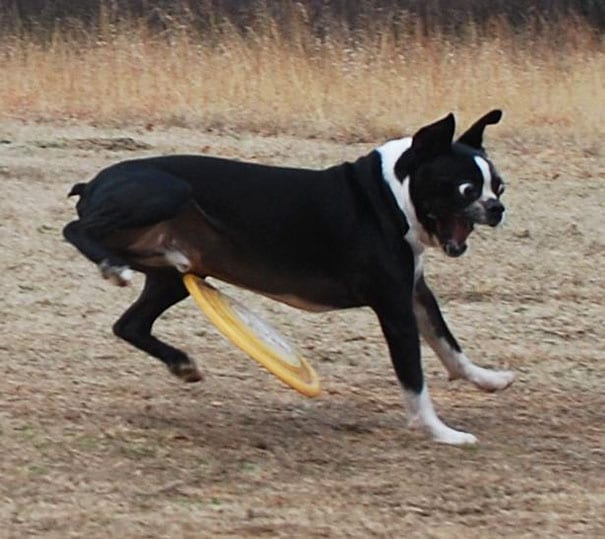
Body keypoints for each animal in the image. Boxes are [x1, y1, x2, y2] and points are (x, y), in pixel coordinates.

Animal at [62, 110, 516, 448]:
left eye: (498, 186)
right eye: (465, 189)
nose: (497, 208)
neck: (391, 194)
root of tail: (94, 182)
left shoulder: (416, 294)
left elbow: (448, 345)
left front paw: (488, 379)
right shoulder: (394, 307)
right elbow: (414, 379)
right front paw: (441, 432)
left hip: (173, 277)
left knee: (130, 324)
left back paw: (182, 364)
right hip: (165, 192)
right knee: (75, 229)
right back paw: (112, 267)